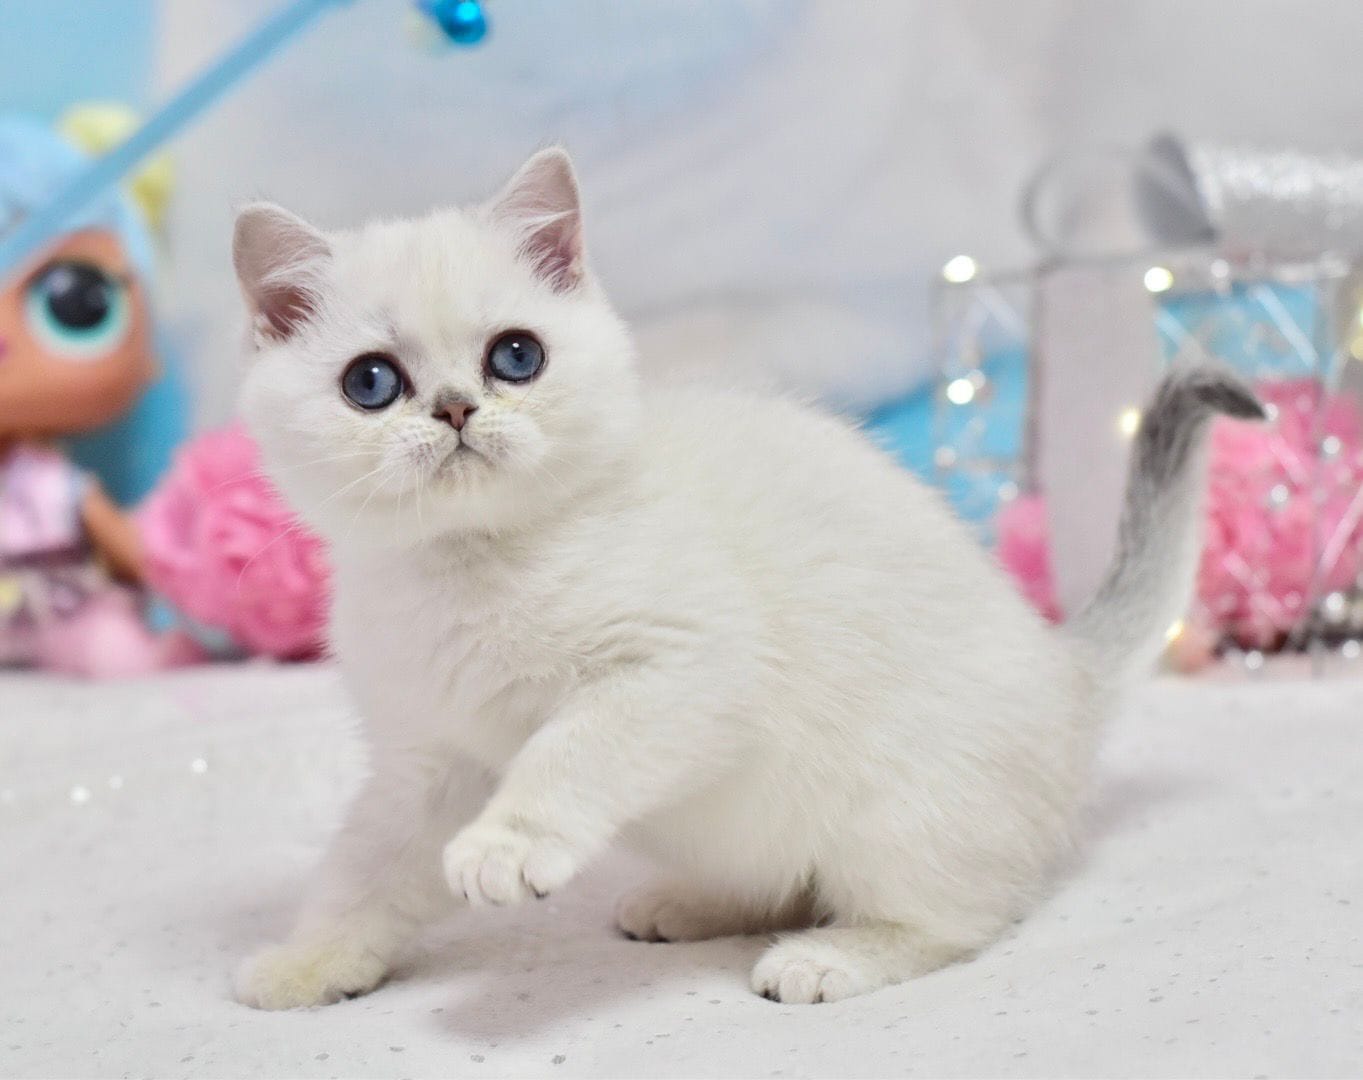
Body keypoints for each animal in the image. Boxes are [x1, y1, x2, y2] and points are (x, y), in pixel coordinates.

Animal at [230, 147, 1261, 1008]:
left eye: (515, 356)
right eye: (371, 383)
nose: (452, 409)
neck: (473, 567)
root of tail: (1065, 673)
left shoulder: (679, 668)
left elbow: (567, 753)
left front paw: (508, 846)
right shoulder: (427, 761)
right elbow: (364, 869)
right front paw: (307, 962)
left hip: (903, 806)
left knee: (958, 918)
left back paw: (831, 955)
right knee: (784, 878)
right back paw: (688, 906)